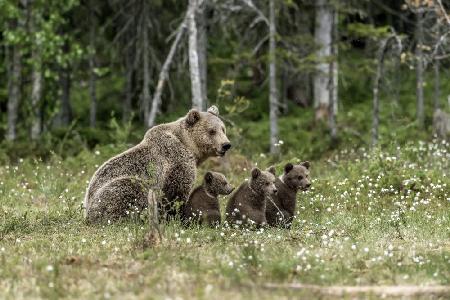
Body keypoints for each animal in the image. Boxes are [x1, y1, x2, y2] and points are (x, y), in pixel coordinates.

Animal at [84, 106, 232, 224]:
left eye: (223, 129)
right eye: (212, 131)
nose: (226, 145)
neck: (189, 146)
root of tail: (86, 210)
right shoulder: (176, 160)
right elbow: (177, 191)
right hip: (117, 191)